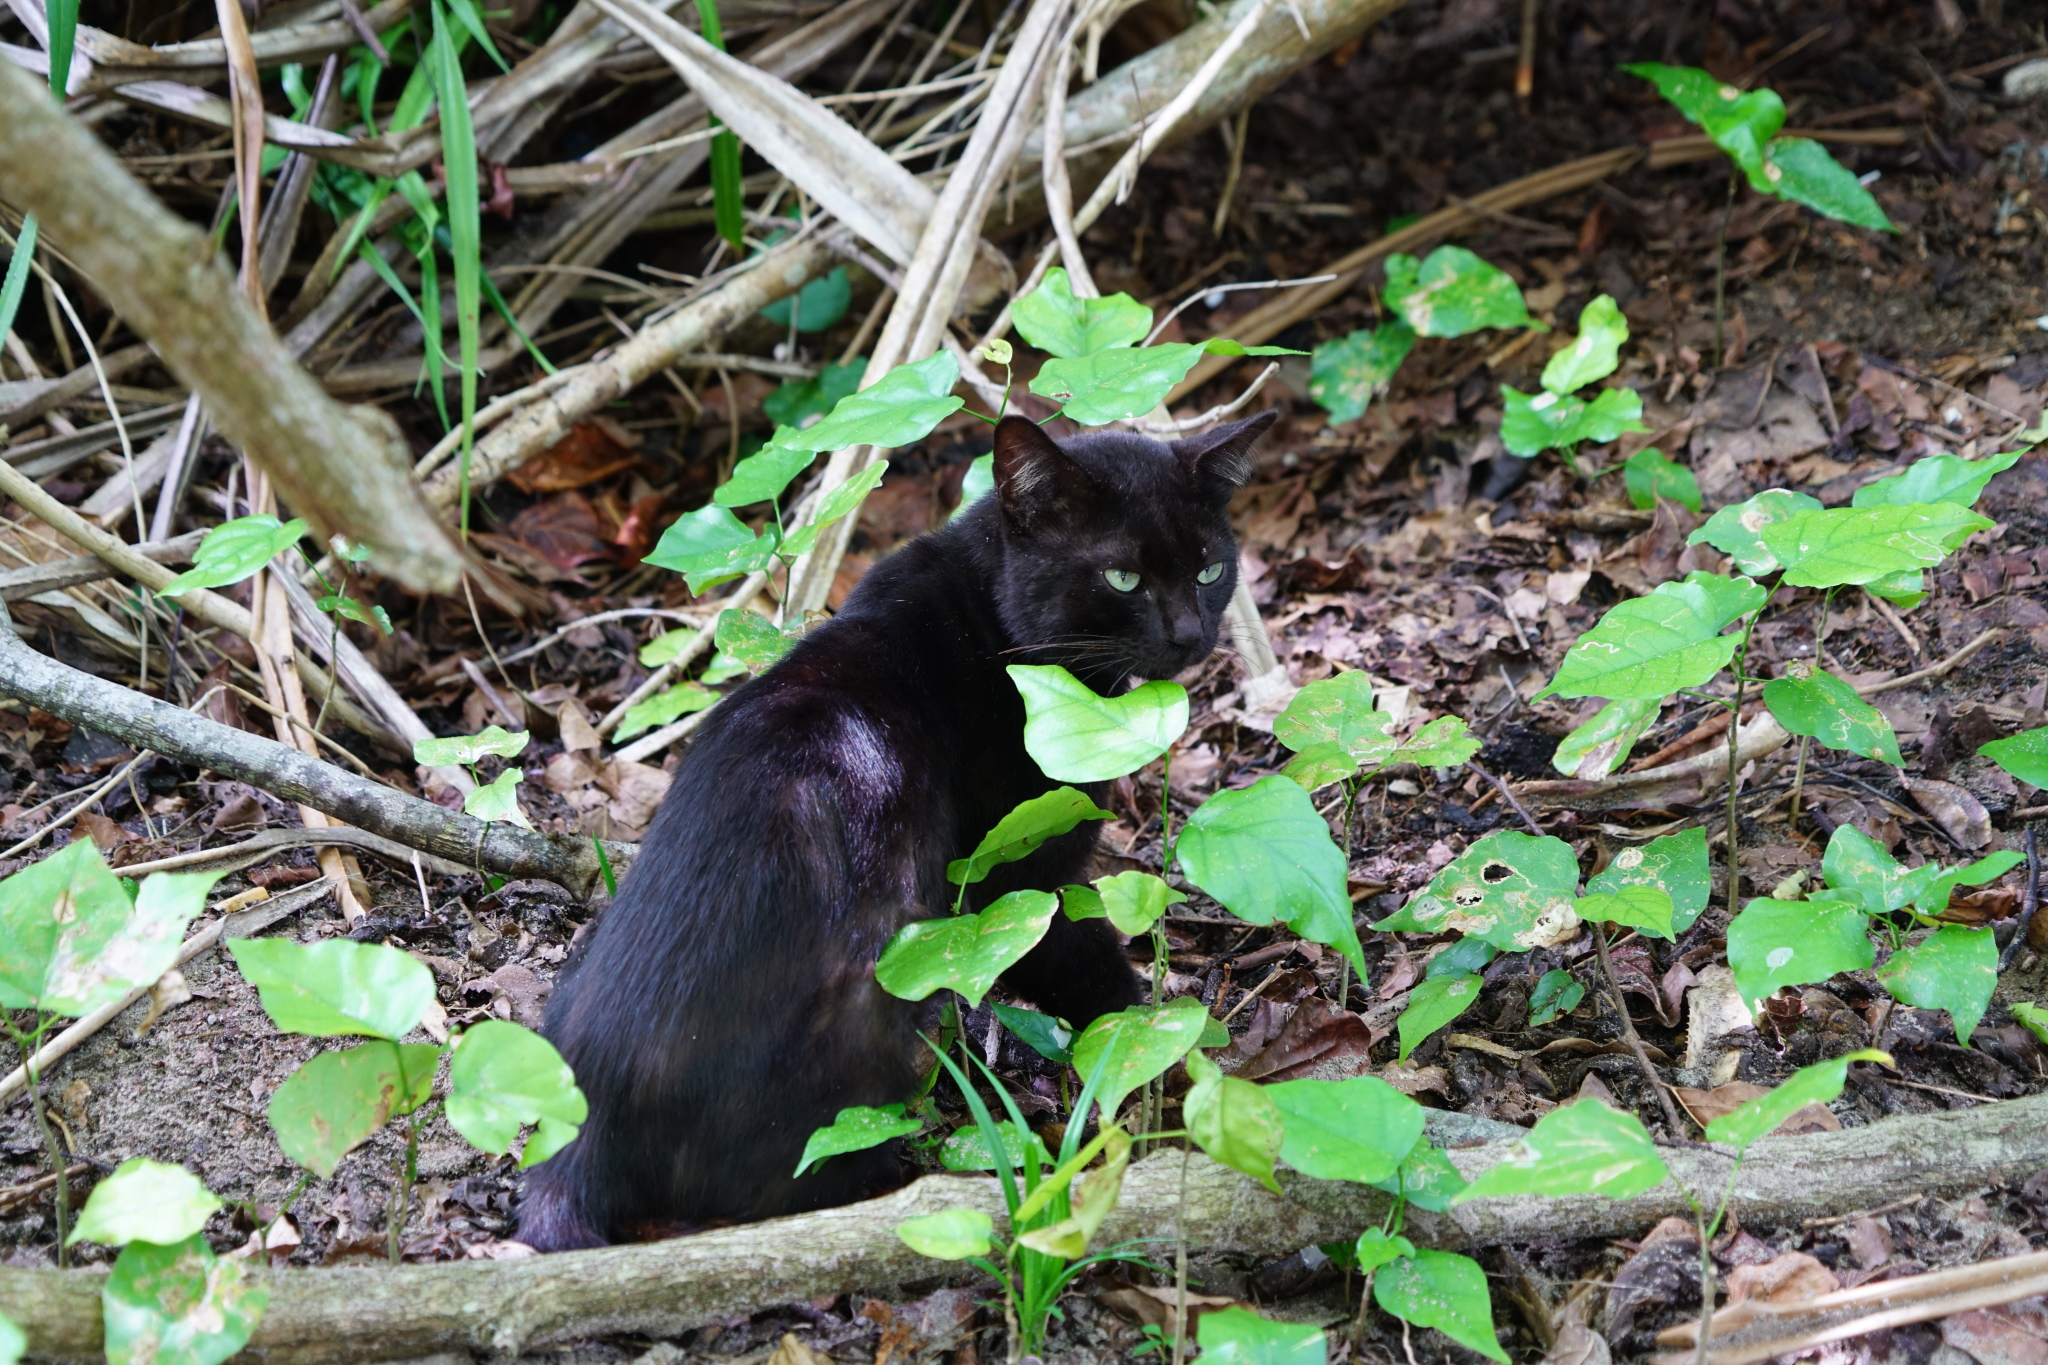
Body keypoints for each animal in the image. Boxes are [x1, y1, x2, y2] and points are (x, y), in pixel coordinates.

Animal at [520, 405, 1269, 1252]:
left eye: (1209, 571)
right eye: (1123, 578)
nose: (1188, 634)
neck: (992, 622)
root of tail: (588, 1134)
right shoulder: (1024, 873)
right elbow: (1092, 975)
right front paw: (1163, 1046)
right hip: (878, 992)